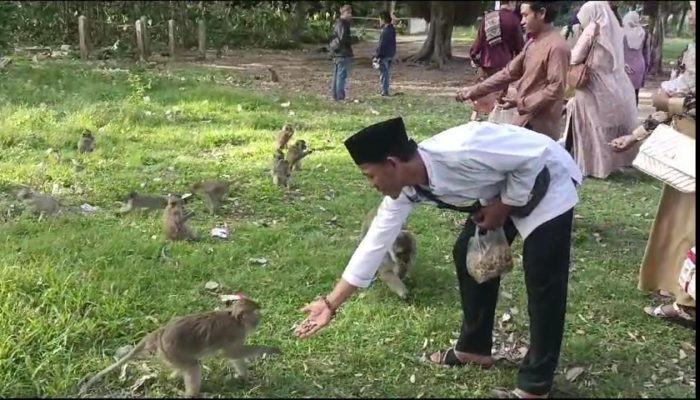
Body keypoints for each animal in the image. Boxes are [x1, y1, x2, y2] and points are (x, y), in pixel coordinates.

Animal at [79, 296, 282, 396]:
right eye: (255, 313)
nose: (260, 318)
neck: (234, 319)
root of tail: (160, 332)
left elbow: (235, 356)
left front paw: (244, 377)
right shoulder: (234, 334)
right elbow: (231, 353)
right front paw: (270, 349)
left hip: (168, 354)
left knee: (186, 366)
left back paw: (174, 376)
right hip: (171, 351)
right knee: (193, 366)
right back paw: (192, 394)